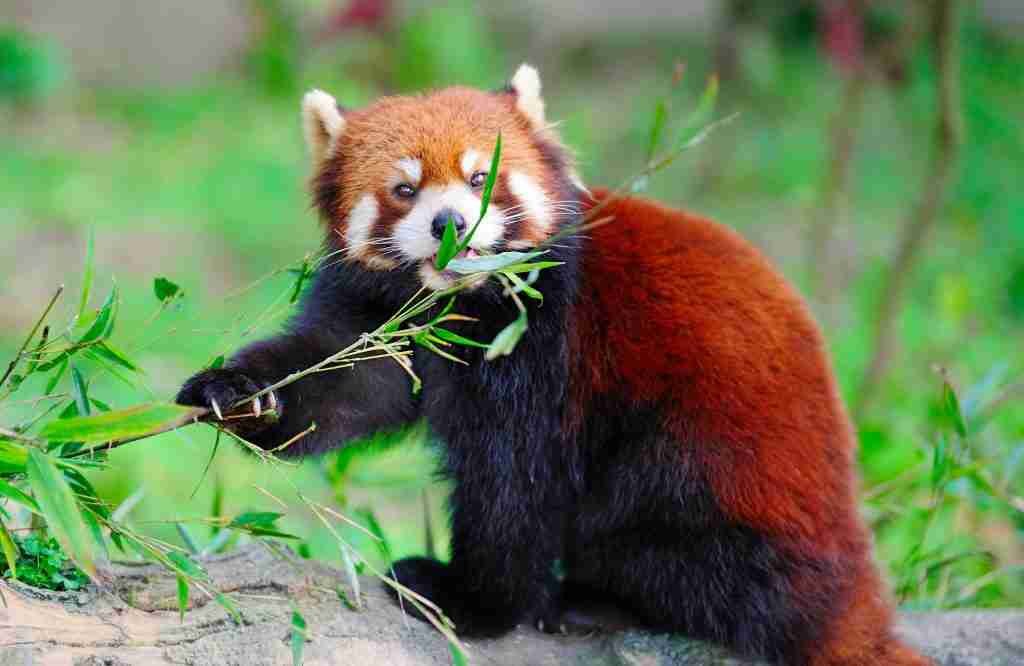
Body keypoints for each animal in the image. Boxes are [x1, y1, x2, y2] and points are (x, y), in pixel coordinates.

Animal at [180, 63, 933, 663]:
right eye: (405, 190)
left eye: (481, 179)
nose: (451, 223)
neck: (461, 302)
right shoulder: (383, 318)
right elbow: (341, 380)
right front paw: (241, 394)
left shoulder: (550, 347)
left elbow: (515, 481)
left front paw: (469, 599)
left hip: (711, 468)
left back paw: (589, 598)